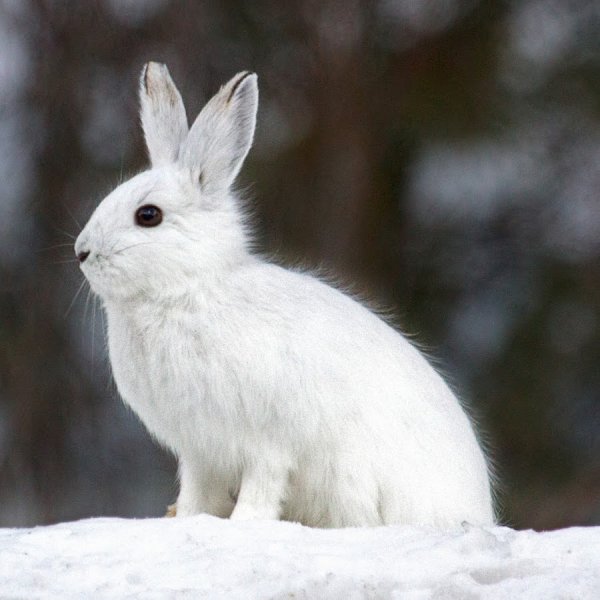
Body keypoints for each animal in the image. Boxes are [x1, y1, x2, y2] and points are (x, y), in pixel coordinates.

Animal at [74, 62, 495, 529]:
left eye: (148, 215)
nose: (81, 252)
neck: (186, 289)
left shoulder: (266, 443)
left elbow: (263, 485)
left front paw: (244, 523)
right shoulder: (200, 452)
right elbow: (196, 495)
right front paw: (185, 518)